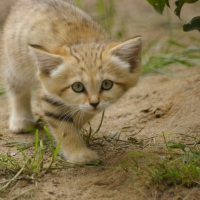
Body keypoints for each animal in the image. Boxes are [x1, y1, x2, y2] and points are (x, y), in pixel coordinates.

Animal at [1, 0, 142, 163]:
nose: (94, 103)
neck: (84, 41)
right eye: (78, 87)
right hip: (16, 64)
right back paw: (21, 120)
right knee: (17, 89)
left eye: (107, 84)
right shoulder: (50, 97)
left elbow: (80, 114)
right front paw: (79, 154)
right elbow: (65, 129)